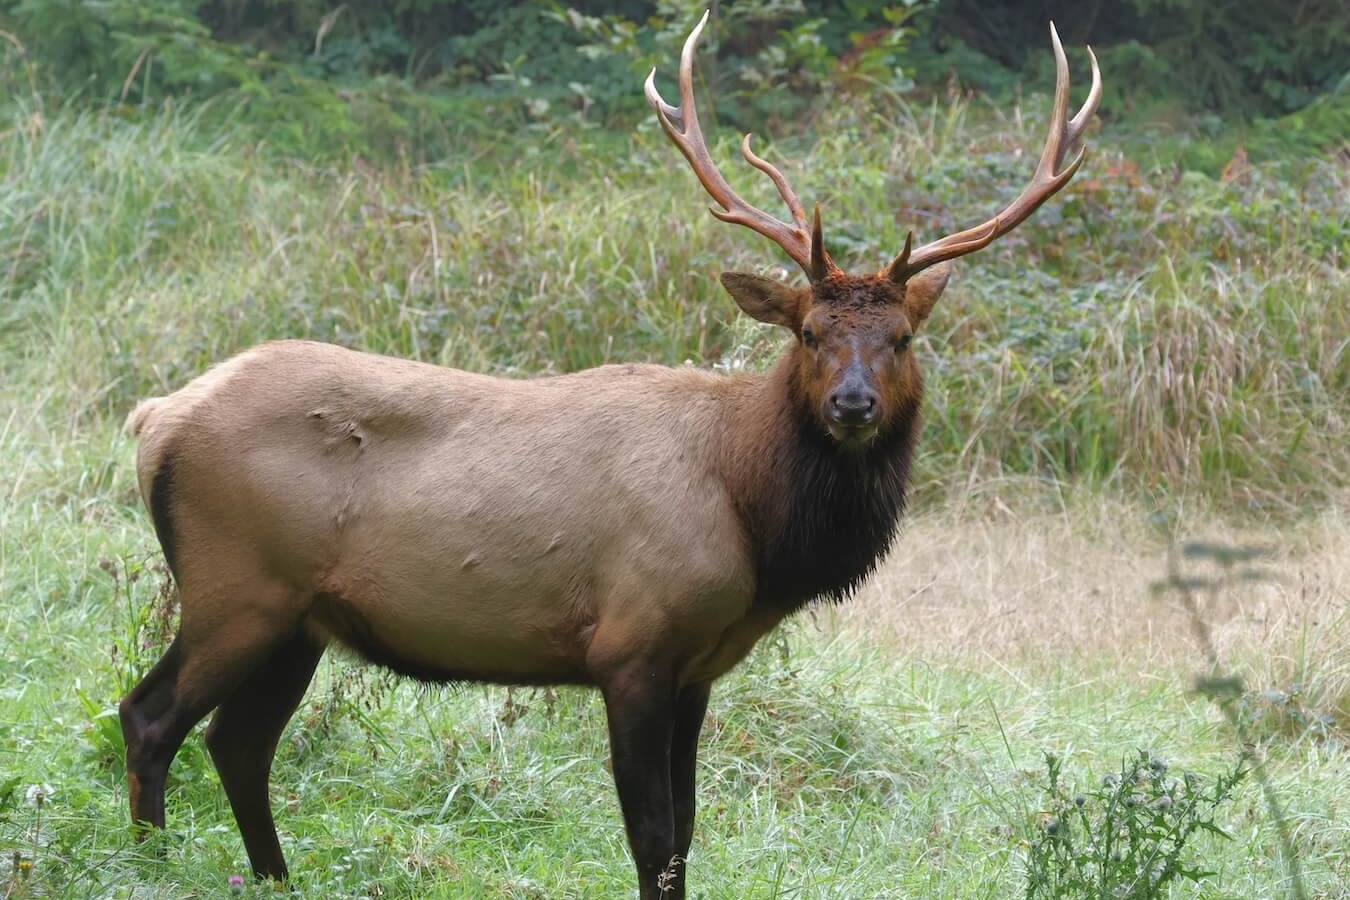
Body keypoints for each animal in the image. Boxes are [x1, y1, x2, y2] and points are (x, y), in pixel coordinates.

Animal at [120, 12, 1100, 899]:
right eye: (810, 332)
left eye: (900, 338)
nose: (851, 404)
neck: (753, 520)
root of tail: (155, 417)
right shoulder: (631, 643)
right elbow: (651, 835)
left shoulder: (700, 666)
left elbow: (690, 831)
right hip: (237, 584)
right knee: (151, 717)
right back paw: (147, 865)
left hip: (300, 616)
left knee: (238, 741)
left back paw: (270, 877)